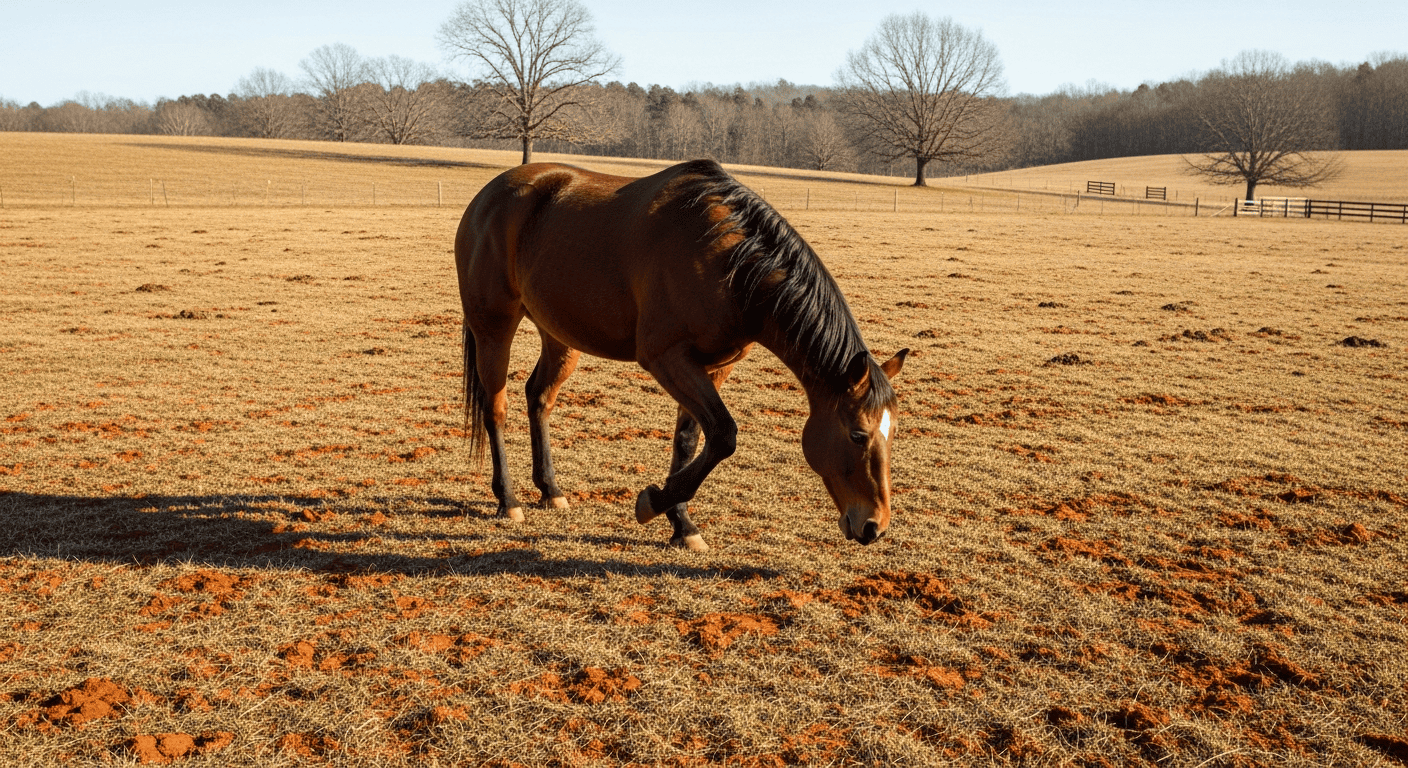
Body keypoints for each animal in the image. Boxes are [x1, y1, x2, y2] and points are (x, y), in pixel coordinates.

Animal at [455, 159, 907, 551]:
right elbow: (723, 435)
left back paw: (550, 490)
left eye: (891, 433)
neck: (727, 261)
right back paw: (508, 500)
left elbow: (690, 442)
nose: (875, 526)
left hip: (559, 334)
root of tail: (487, 196)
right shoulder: (667, 358)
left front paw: (682, 524)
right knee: (496, 408)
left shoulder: (715, 365)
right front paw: (653, 503)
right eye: (858, 434)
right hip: (493, 327)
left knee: (539, 398)